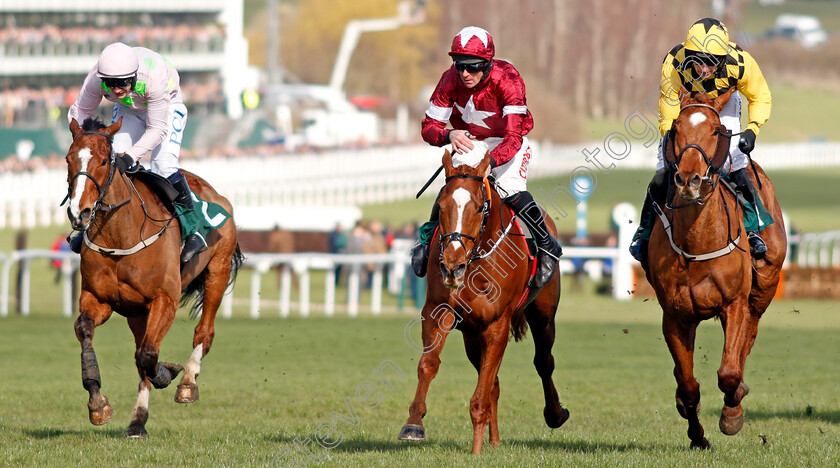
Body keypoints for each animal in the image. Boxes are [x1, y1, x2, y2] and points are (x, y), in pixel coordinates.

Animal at [65, 117, 243, 438]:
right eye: (68, 159)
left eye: (103, 161)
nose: (79, 213)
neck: (120, 235)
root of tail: (216, 193)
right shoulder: (100, 299)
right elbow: (86, 331)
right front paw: (98, 404)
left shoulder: (165, 299)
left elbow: (148, 355)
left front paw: (168, 373)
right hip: (137, 312)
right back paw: (138, 421)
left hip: (218, 272)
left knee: (204, 332)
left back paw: (187, 381)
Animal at [400, 147, 572, 454]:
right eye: (440, 206)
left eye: (480, 207)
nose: (452, 266)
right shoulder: (438, 312)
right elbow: (429, 363)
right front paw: (413, 424)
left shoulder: (497, 324)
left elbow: (483, 388)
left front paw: (476, 450)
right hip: (471, 334)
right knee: (494, 381)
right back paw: (494, 440)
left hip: (543, 314)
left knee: (543, 362)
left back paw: (554, 414)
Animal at [644, 88, 788, 450]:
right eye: (676, 128)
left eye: (715, 131)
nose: (688, 179)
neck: (698, 241)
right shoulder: (675, 314)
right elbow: (688, 384)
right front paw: (697, 435)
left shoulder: (734, 303)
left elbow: (729, 373)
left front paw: (732, 414)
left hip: (763, 288)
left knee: (748, 337)